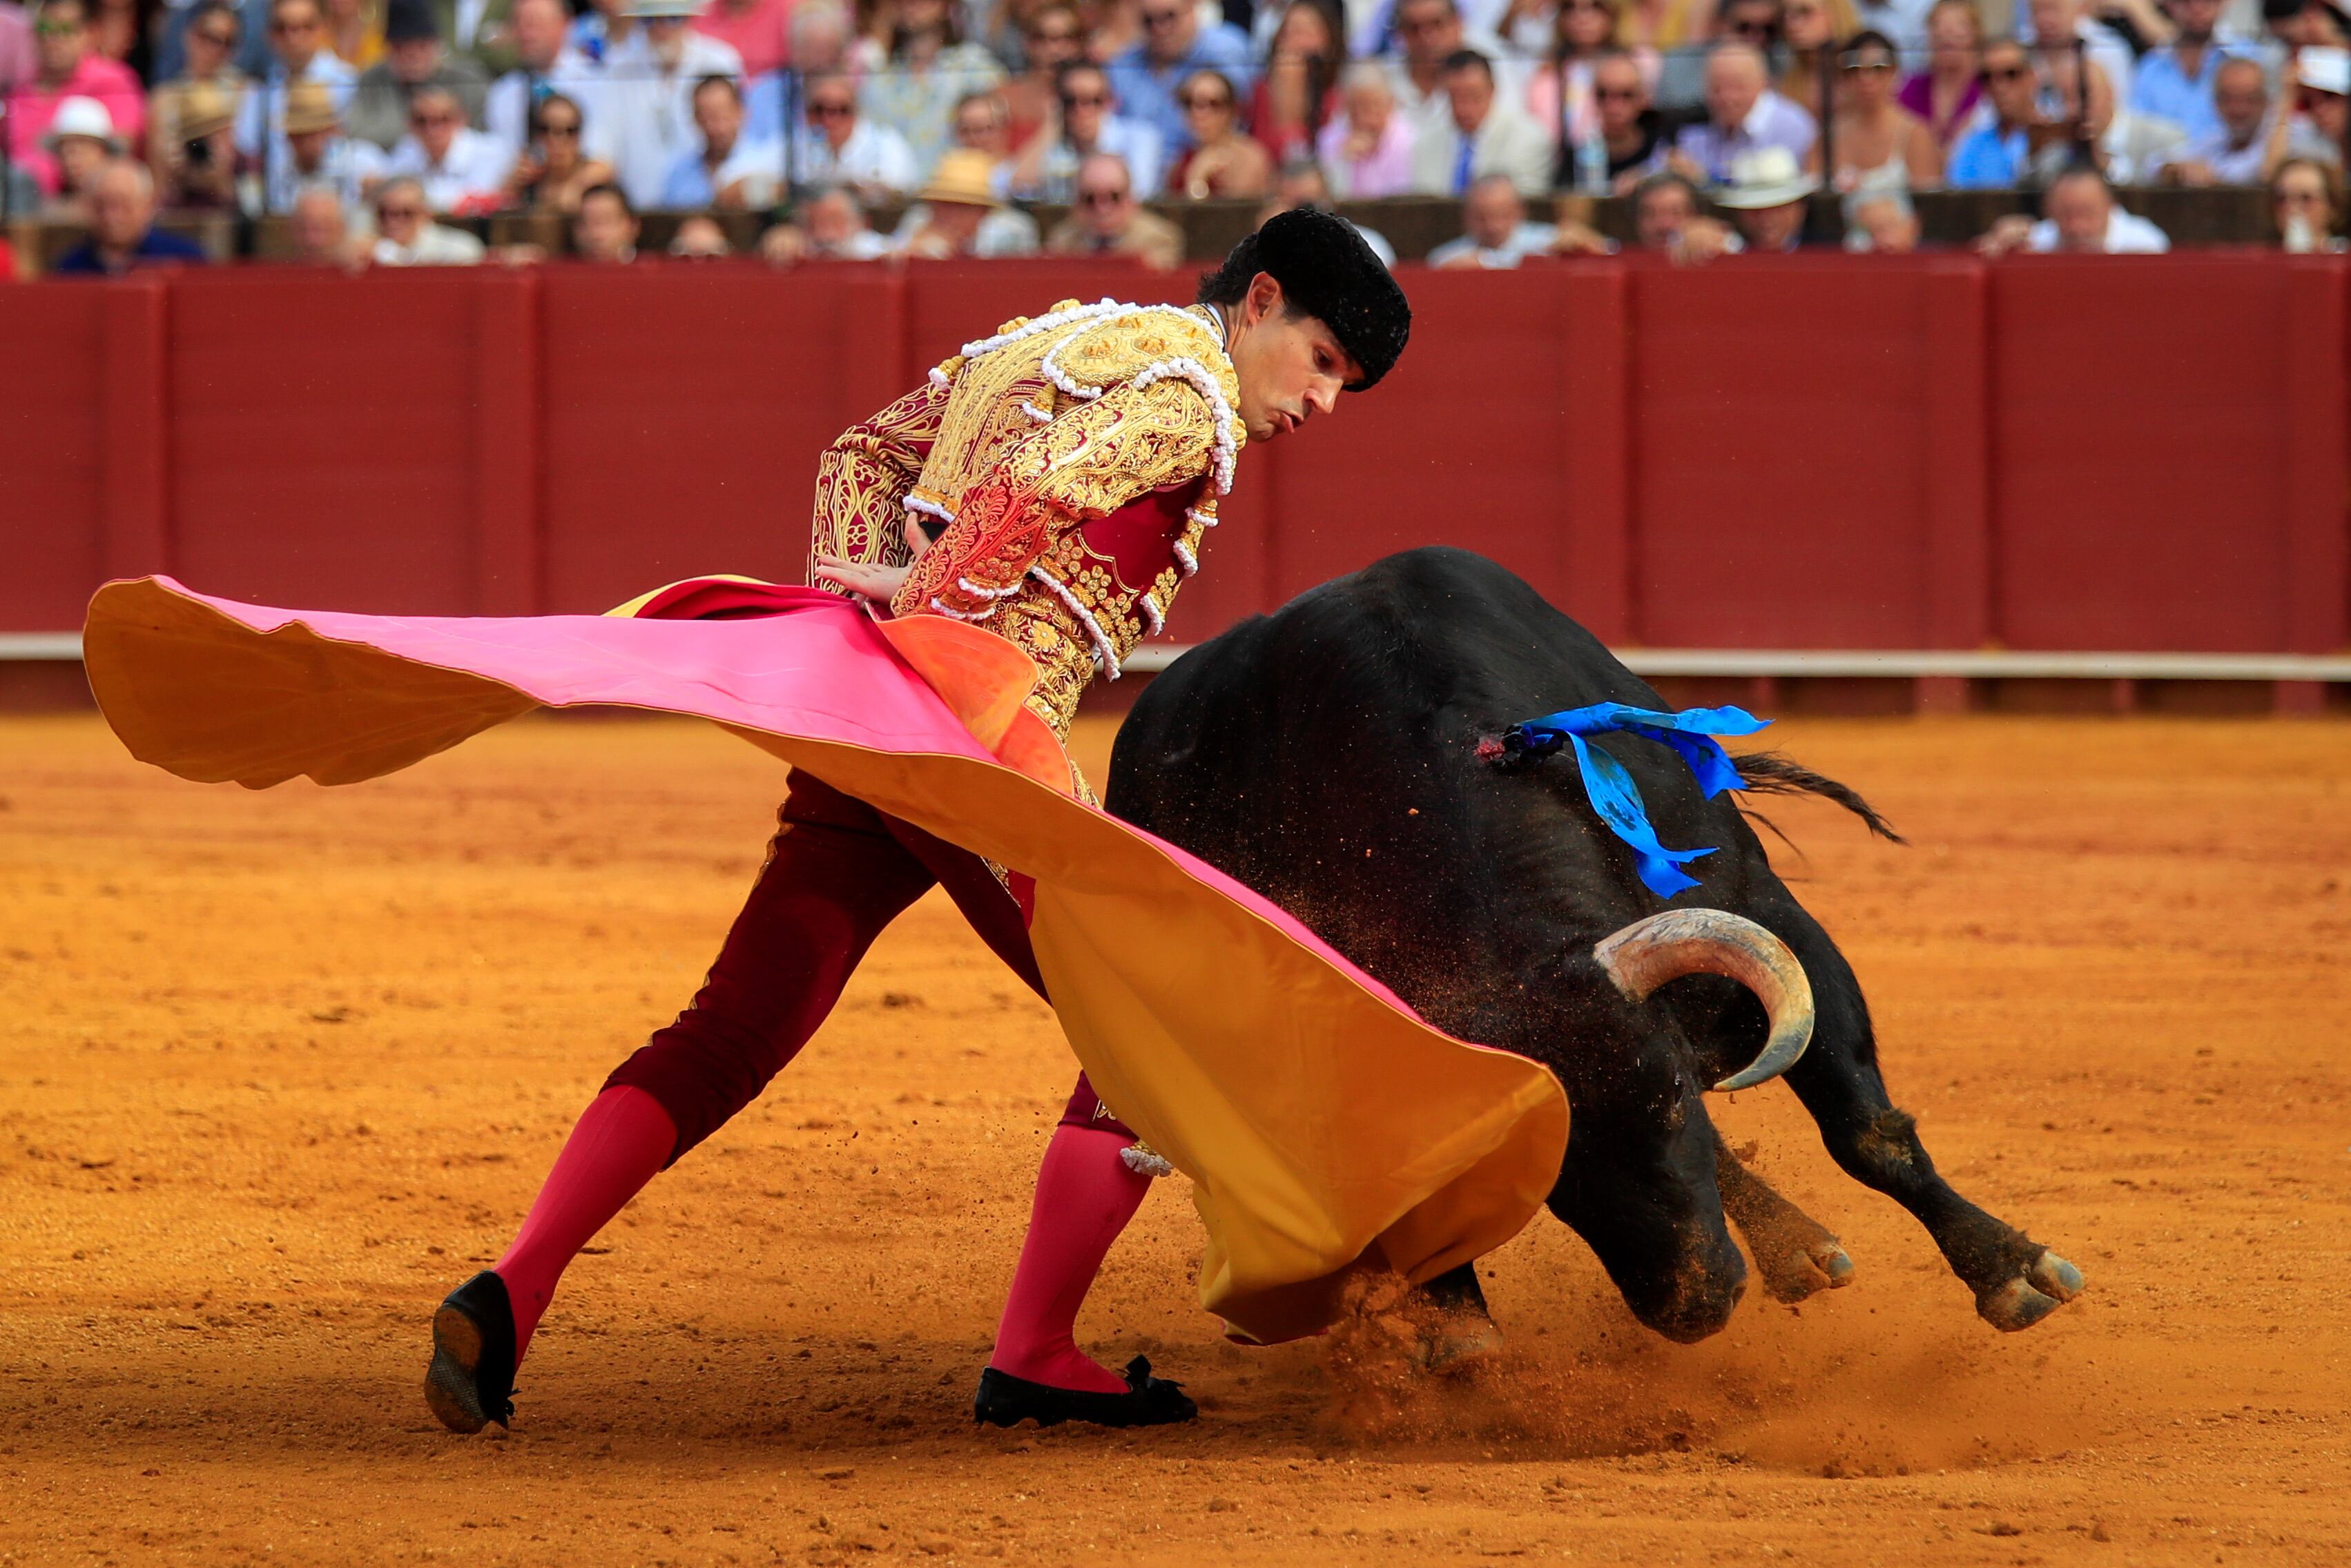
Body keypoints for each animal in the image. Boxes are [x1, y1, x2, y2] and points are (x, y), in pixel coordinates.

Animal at [1100, 545, 2078, 1344]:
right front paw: (1456, 1323)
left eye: (1675, 1097)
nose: (1696, 1304)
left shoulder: (1771, 917)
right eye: (1541, 1168)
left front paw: (2013, 1274)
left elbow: (1866, 1131)